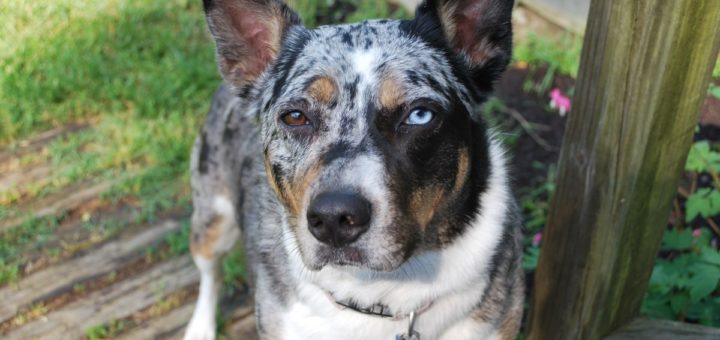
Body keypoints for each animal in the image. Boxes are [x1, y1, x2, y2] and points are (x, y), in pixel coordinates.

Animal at [186, 0, 524, 338]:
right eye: (295, 116)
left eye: (420, 115)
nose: (334, 218)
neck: (379, 293)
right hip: (213, 219)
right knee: (210, 273)